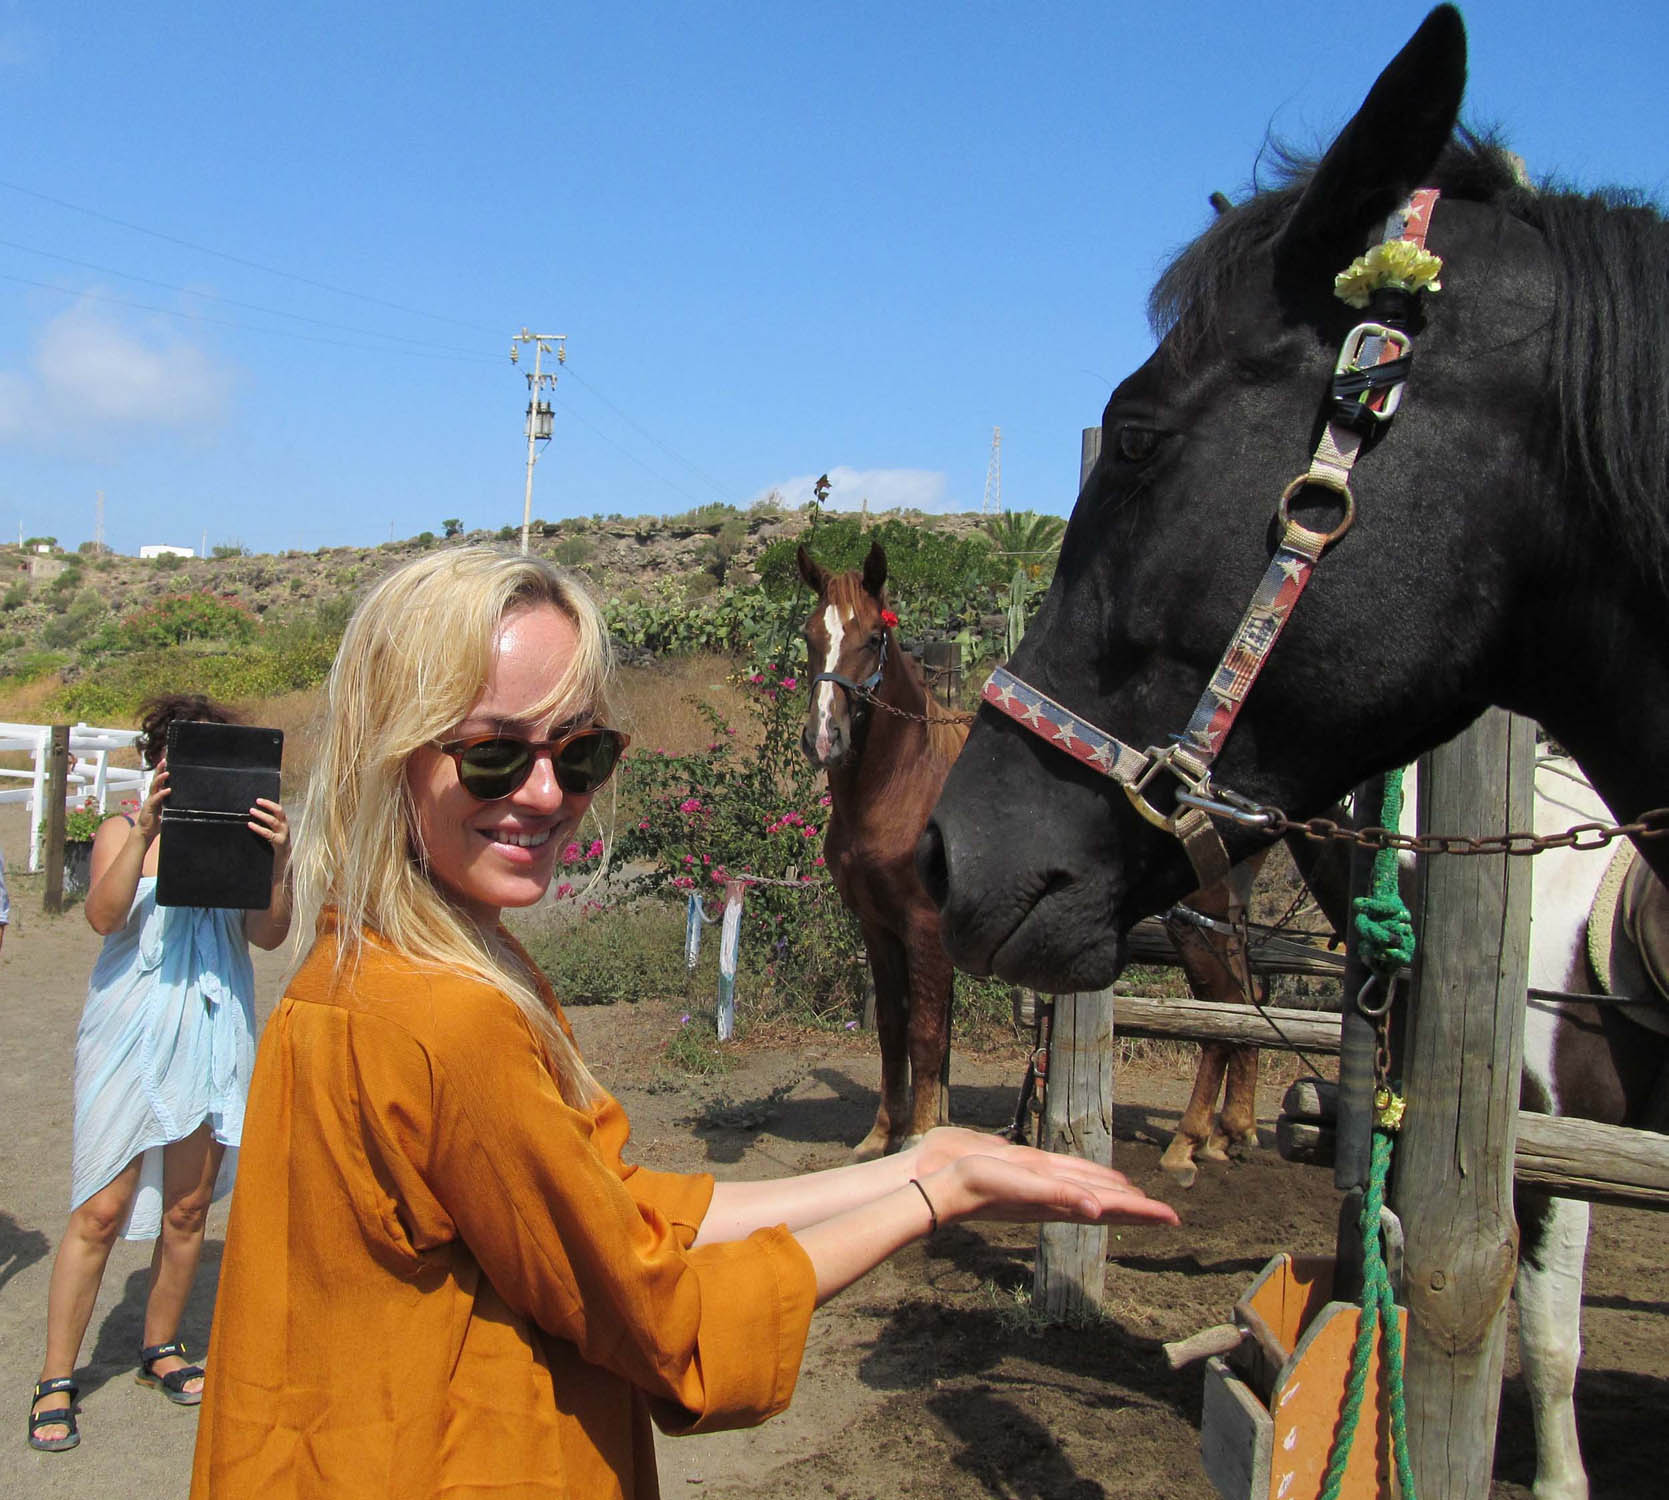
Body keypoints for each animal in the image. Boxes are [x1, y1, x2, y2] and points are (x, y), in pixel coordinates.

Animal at [797, 541, 968, 1158]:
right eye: (809, 636)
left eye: (874, 637)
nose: (824, 737)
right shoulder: (876, 925)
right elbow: (893, 1030)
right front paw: (880, 1135)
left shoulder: (925, 928)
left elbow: (926, 1031)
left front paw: (917, 1138)